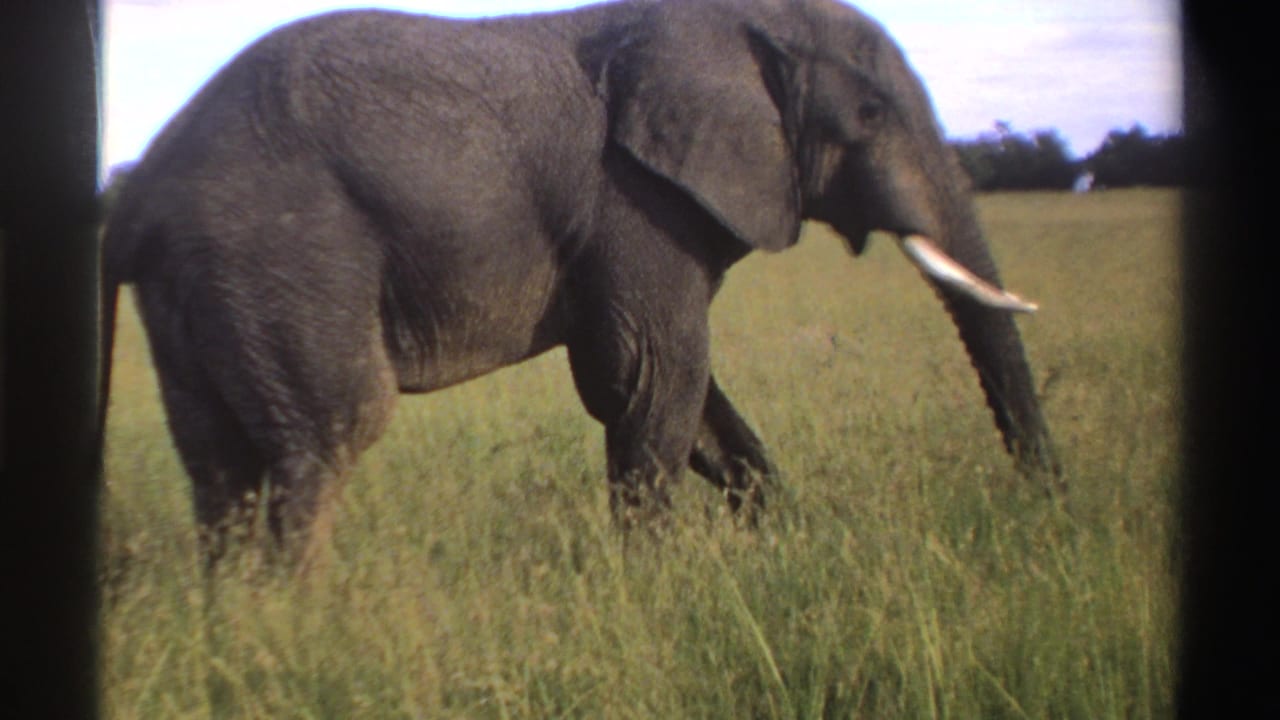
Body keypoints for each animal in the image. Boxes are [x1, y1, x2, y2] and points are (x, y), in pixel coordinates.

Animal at [100, 0, 1059, 564]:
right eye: (869, 113)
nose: (1049, 510)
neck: (729, 17)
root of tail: (138, 187)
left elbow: (690, 396)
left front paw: (792, 545)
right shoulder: (633, 199)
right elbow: (650, 377)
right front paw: (659, 589)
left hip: (203, 282)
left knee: (221, 464)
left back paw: (241, 630)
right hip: (280, 257)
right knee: (326, 436)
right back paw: (301, 628)